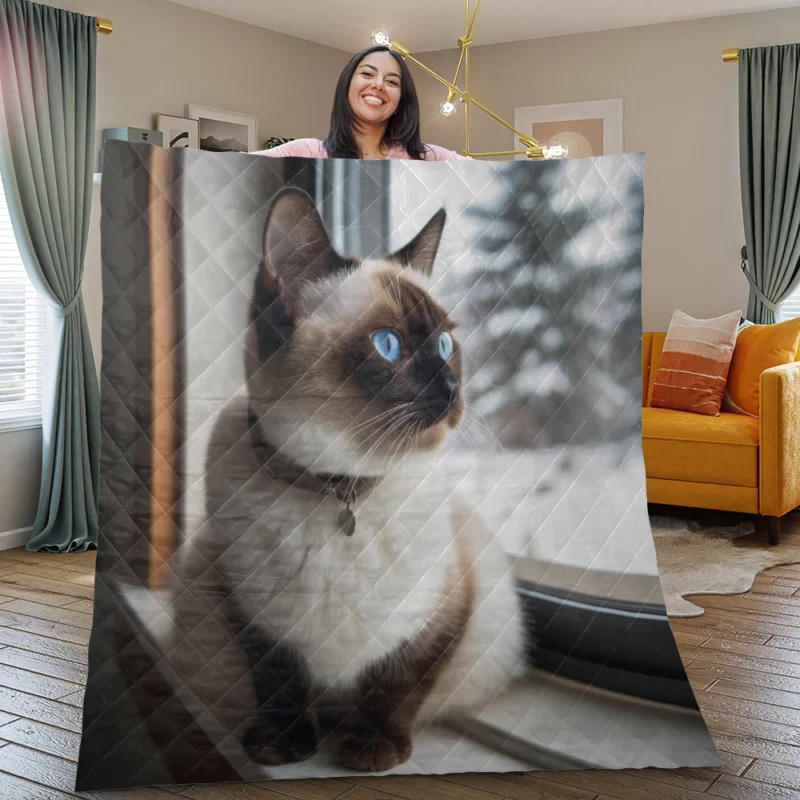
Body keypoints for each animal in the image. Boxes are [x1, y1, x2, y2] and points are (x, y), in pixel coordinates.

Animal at [202, 184, 524, 772]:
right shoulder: (251, 613)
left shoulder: (439, 614)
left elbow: (395, 685)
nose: (452, 390)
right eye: (388, 345)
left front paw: (372, 748)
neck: (341, 486)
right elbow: (278, 679)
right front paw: (281, 746)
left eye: (446, 346)